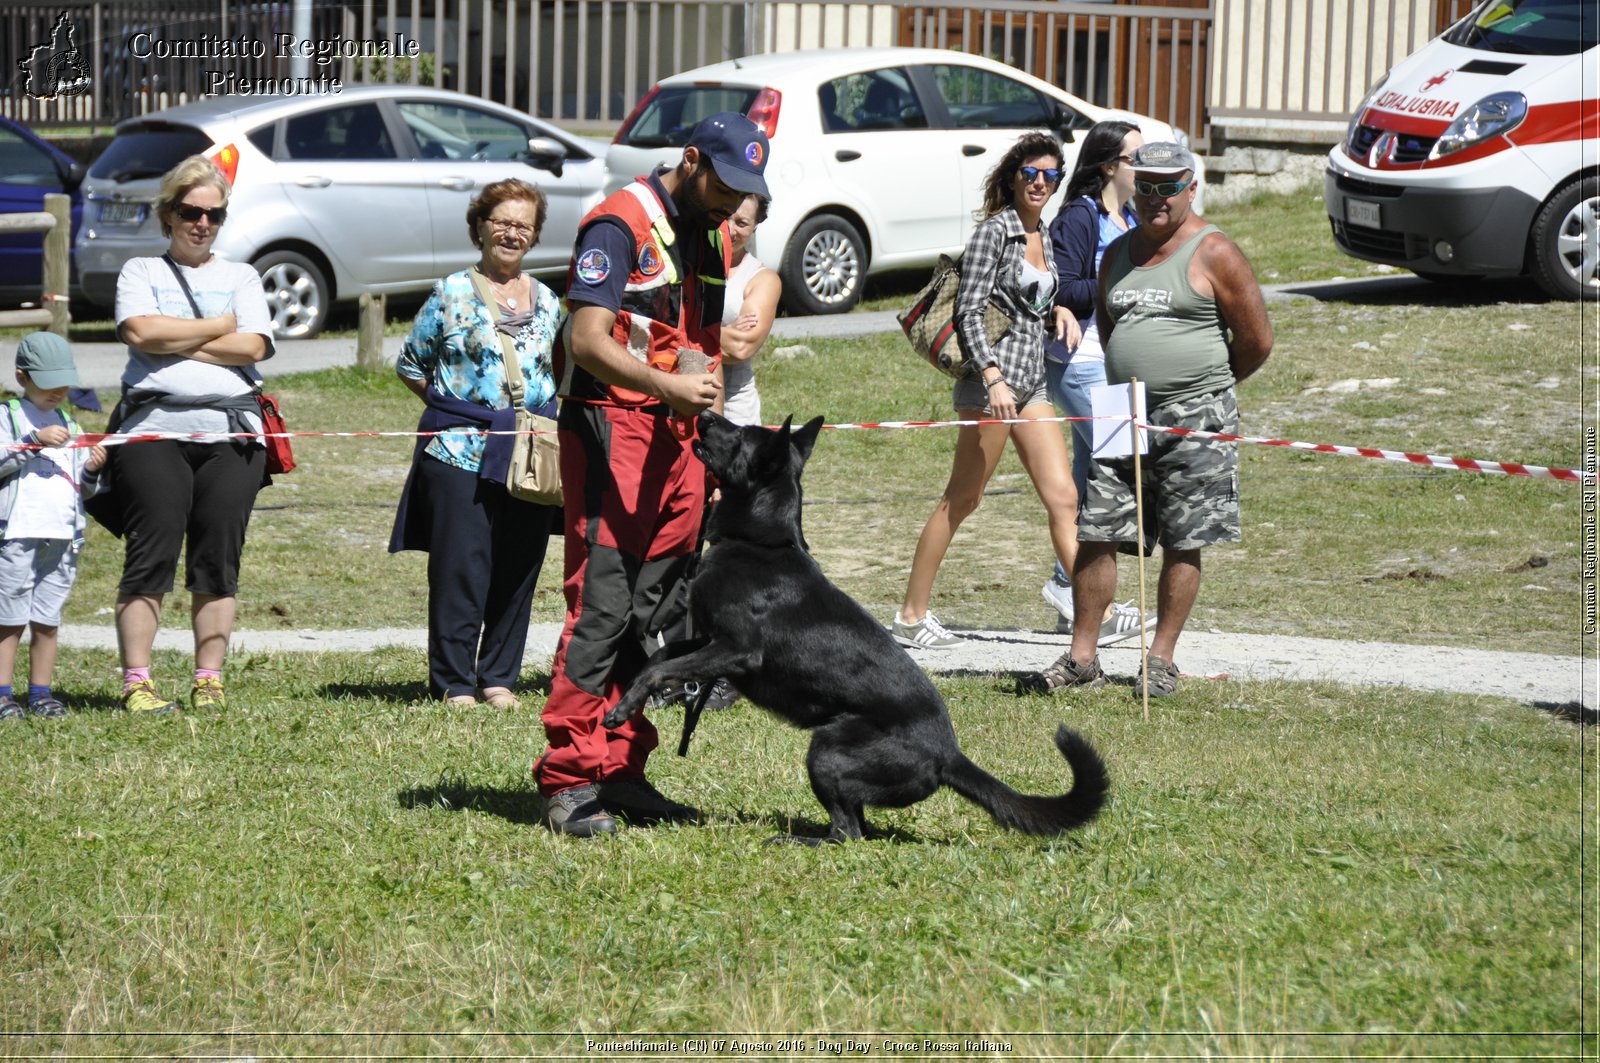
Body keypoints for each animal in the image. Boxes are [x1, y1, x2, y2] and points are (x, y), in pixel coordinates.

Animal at [601, 409, 1113, 845]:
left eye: (742, 433)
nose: (704, 414)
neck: (760, 542)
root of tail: (948, 756)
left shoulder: (736, 650)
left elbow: (661, 667)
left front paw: (620, 710)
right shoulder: (707, 641)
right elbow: (662, 657)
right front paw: (632, 695)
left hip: (826, 749)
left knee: (847, 832)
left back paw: (799, 838)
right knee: (856, 825)